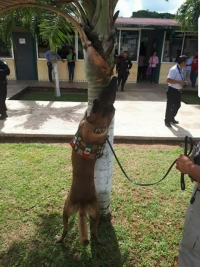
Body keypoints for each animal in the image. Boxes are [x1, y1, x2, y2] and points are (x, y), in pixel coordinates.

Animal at [55, 76, 117, 247]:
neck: (96, 125)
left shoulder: (86, 123)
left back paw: (60, 239)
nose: (115, 78)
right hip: (93, 212)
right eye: (107, 90)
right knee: (93, 232)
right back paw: (100, 242)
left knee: (66, 229)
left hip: (68, 209)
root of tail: (82, 203)